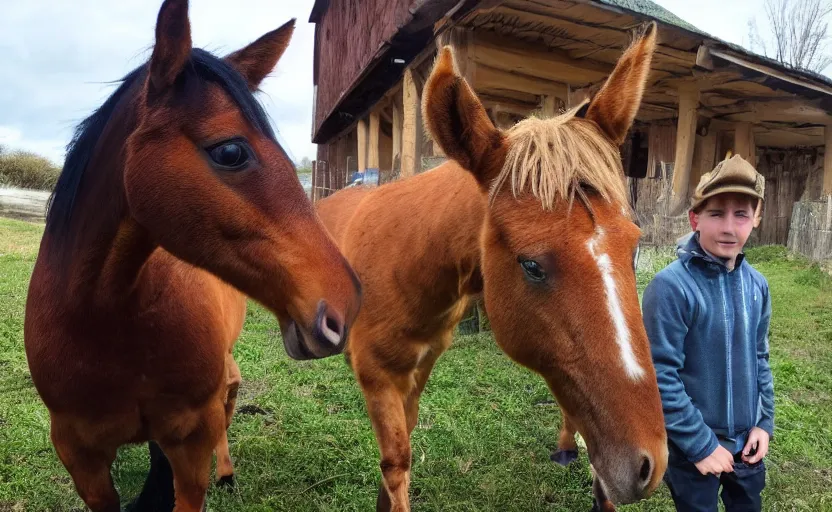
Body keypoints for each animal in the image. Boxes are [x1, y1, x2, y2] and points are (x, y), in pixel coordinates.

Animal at [316, 23, 668, 508]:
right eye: (531, 265)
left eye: (633, 247)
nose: (648, 464)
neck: (406, 263)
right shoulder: (377, 375)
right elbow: (396, 462)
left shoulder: (420, 366)